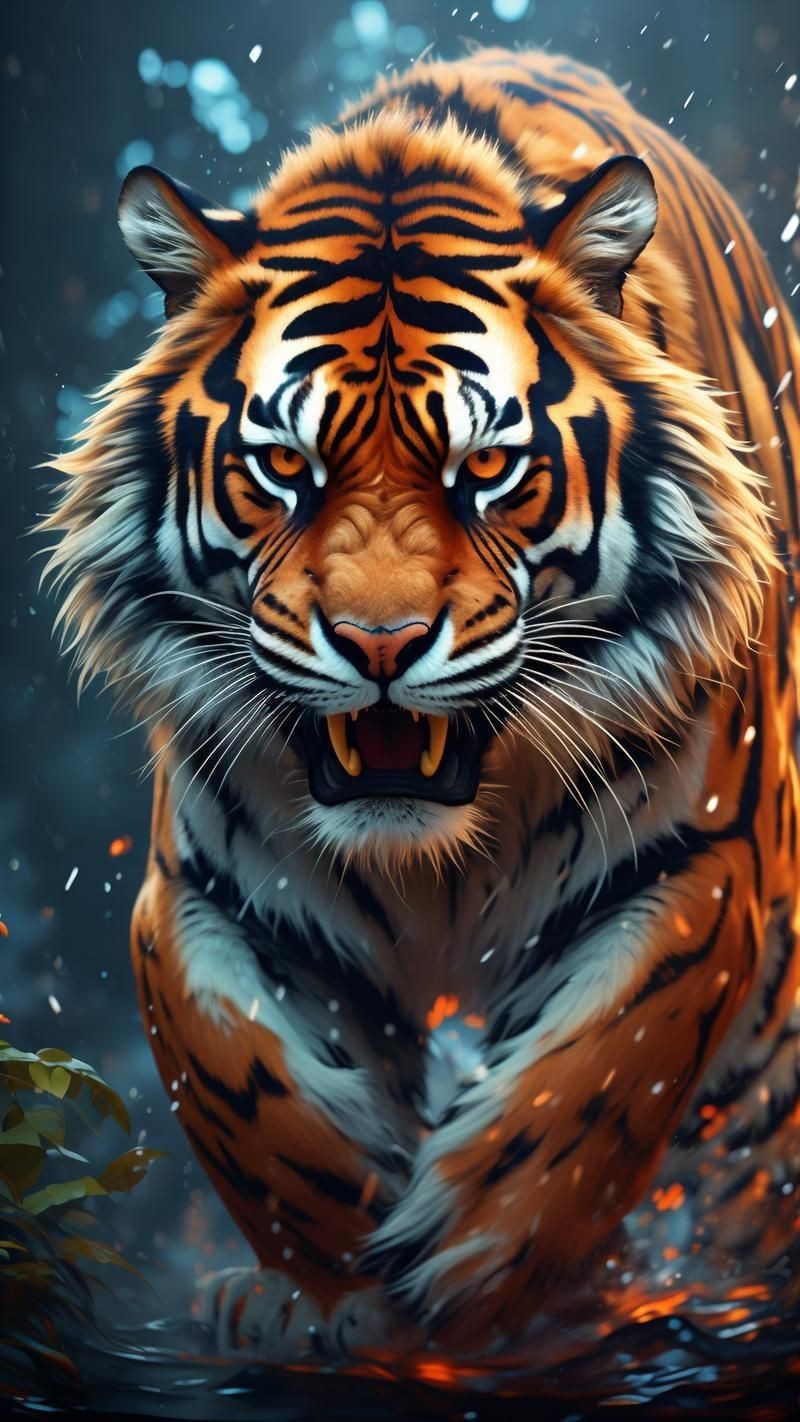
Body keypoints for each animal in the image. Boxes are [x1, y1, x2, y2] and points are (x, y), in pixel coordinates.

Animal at [43, 47, 800, 1359]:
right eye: (283, 469)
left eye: (483, 467)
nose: (380, 643)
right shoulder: (212, 892)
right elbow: (240, 1080)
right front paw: (329, 1285)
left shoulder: (694, 869)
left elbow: (595, 1082)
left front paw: (471, 1273)